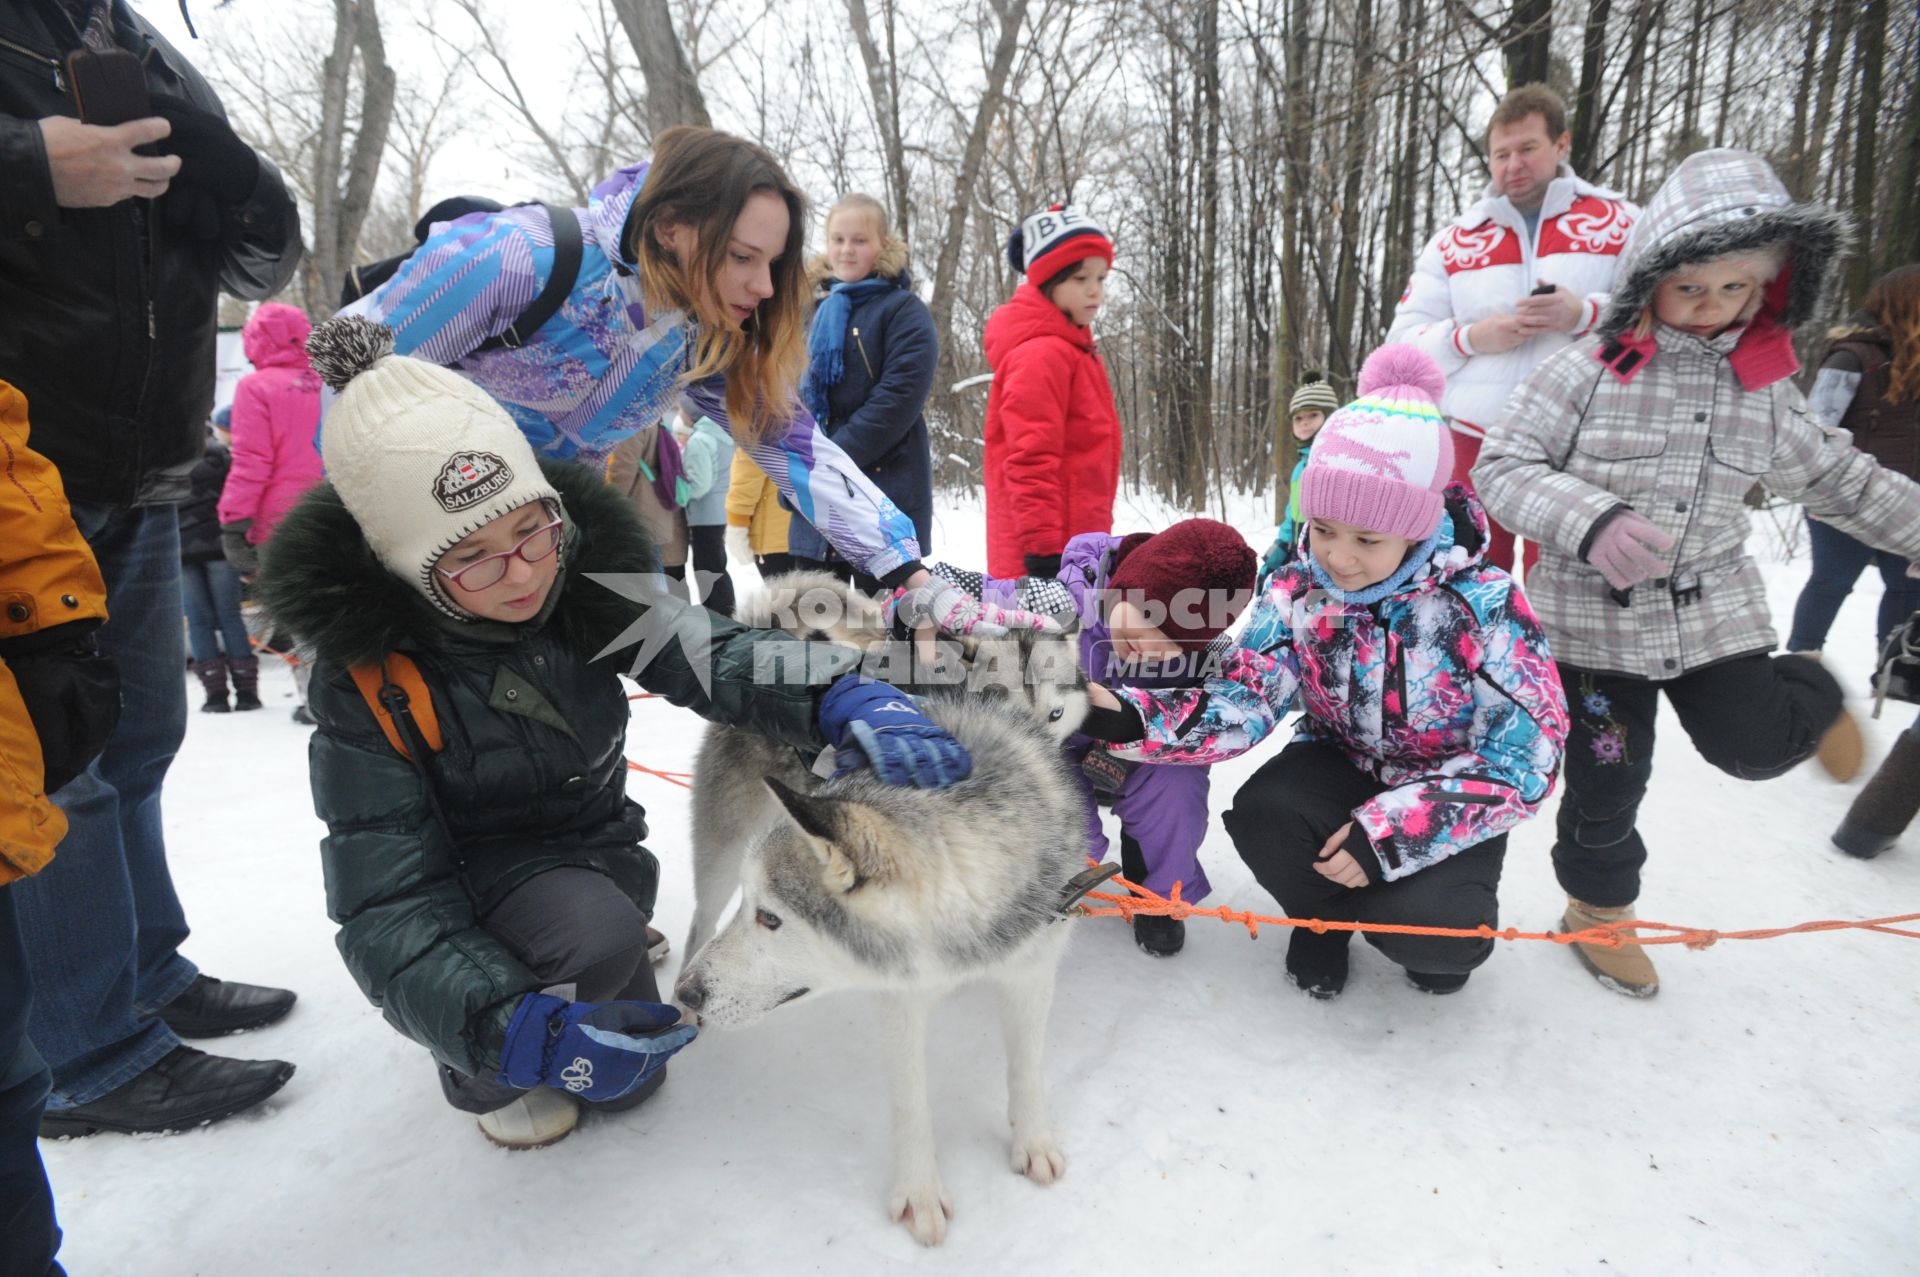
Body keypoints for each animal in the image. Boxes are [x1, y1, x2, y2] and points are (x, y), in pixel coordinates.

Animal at [683, 572, 1090, 1236]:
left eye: (1055, 715)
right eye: (765, 915)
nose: (689, 992)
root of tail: (774, 626)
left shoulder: (1031, 970)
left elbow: (1026, 1069)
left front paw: (1032, 1142)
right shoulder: (901, 999)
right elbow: (911, 1103)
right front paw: (920, 1192)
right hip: (720, 856)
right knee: (701, 920)